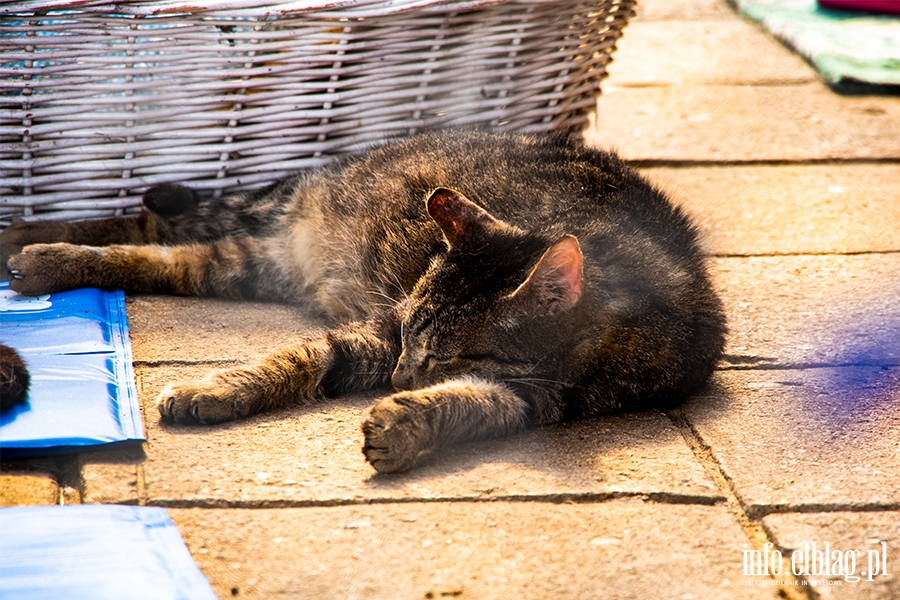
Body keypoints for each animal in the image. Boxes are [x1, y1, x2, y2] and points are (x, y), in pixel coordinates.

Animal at [0, 131, 728, 474]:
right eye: (412, 334)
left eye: (446, 354)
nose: (402, 373)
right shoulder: (381, 327)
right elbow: (300, 358)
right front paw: (217, 388)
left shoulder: (540, 398)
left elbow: (474, 404)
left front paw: (409, 424)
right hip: (254, 222)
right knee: (148, 223)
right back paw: (34, 241)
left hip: (247, 263)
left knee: (171, 260)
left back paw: (42, 257)